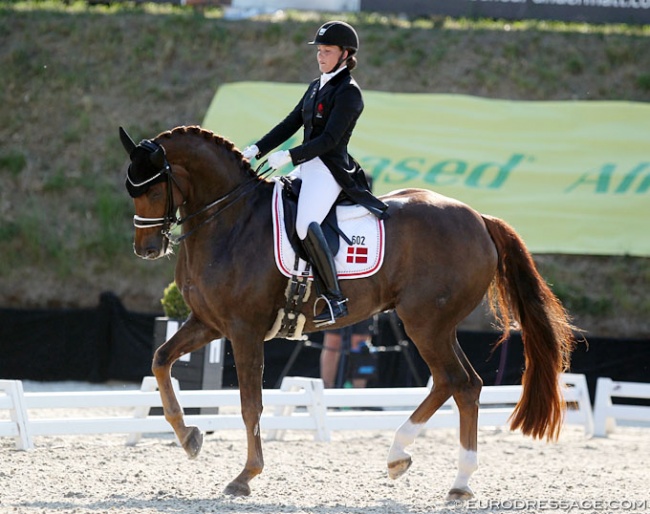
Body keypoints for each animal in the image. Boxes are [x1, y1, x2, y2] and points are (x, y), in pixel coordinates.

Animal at [120, 125, 572, 500]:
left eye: (155, 190)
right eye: (132, 191)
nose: (146, 249)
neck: (230, 220)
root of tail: (479, 217)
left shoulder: (244, 330)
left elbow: (251, 404)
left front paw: (245, 476)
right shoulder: (209, 323)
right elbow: (160, 361)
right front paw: (189, 437)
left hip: (424, 323)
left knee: (457, 382)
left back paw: (447, 476)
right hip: (437, 325)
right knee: (462, 384)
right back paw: (411, 461)